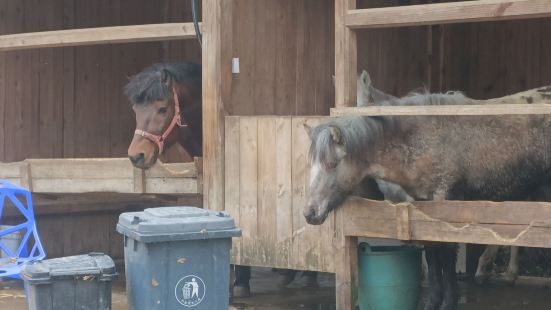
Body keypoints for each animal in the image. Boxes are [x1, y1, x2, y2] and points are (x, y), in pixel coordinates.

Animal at [304, 85, 551, 310]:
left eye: (332, 163)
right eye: (312, 165)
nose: (310, 213)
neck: (422, 139)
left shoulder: (446, 203)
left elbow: (446, 254)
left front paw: (449, 301)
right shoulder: (424, 206)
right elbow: (432, 253)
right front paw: (433, 301)